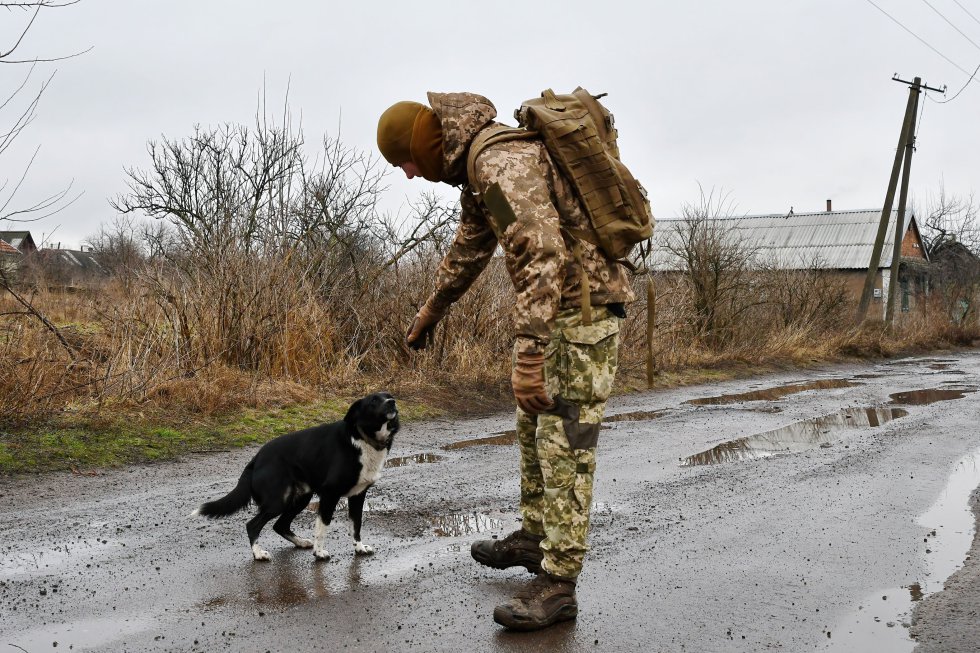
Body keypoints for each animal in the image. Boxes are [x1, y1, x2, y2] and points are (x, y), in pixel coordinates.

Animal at [191, 392, 398, 560]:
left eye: (388, 396)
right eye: (373, 400)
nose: (392, 402)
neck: (363, 438)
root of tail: (256, 458)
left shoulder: (358, 495)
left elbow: (356, 525)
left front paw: (359, 548)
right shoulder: (330, 494)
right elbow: (322, 526)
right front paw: (319, 553)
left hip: (300, 498)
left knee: (279, 525)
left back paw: (300, 542)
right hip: (277, 501)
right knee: (253, 525)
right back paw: (258, 554)